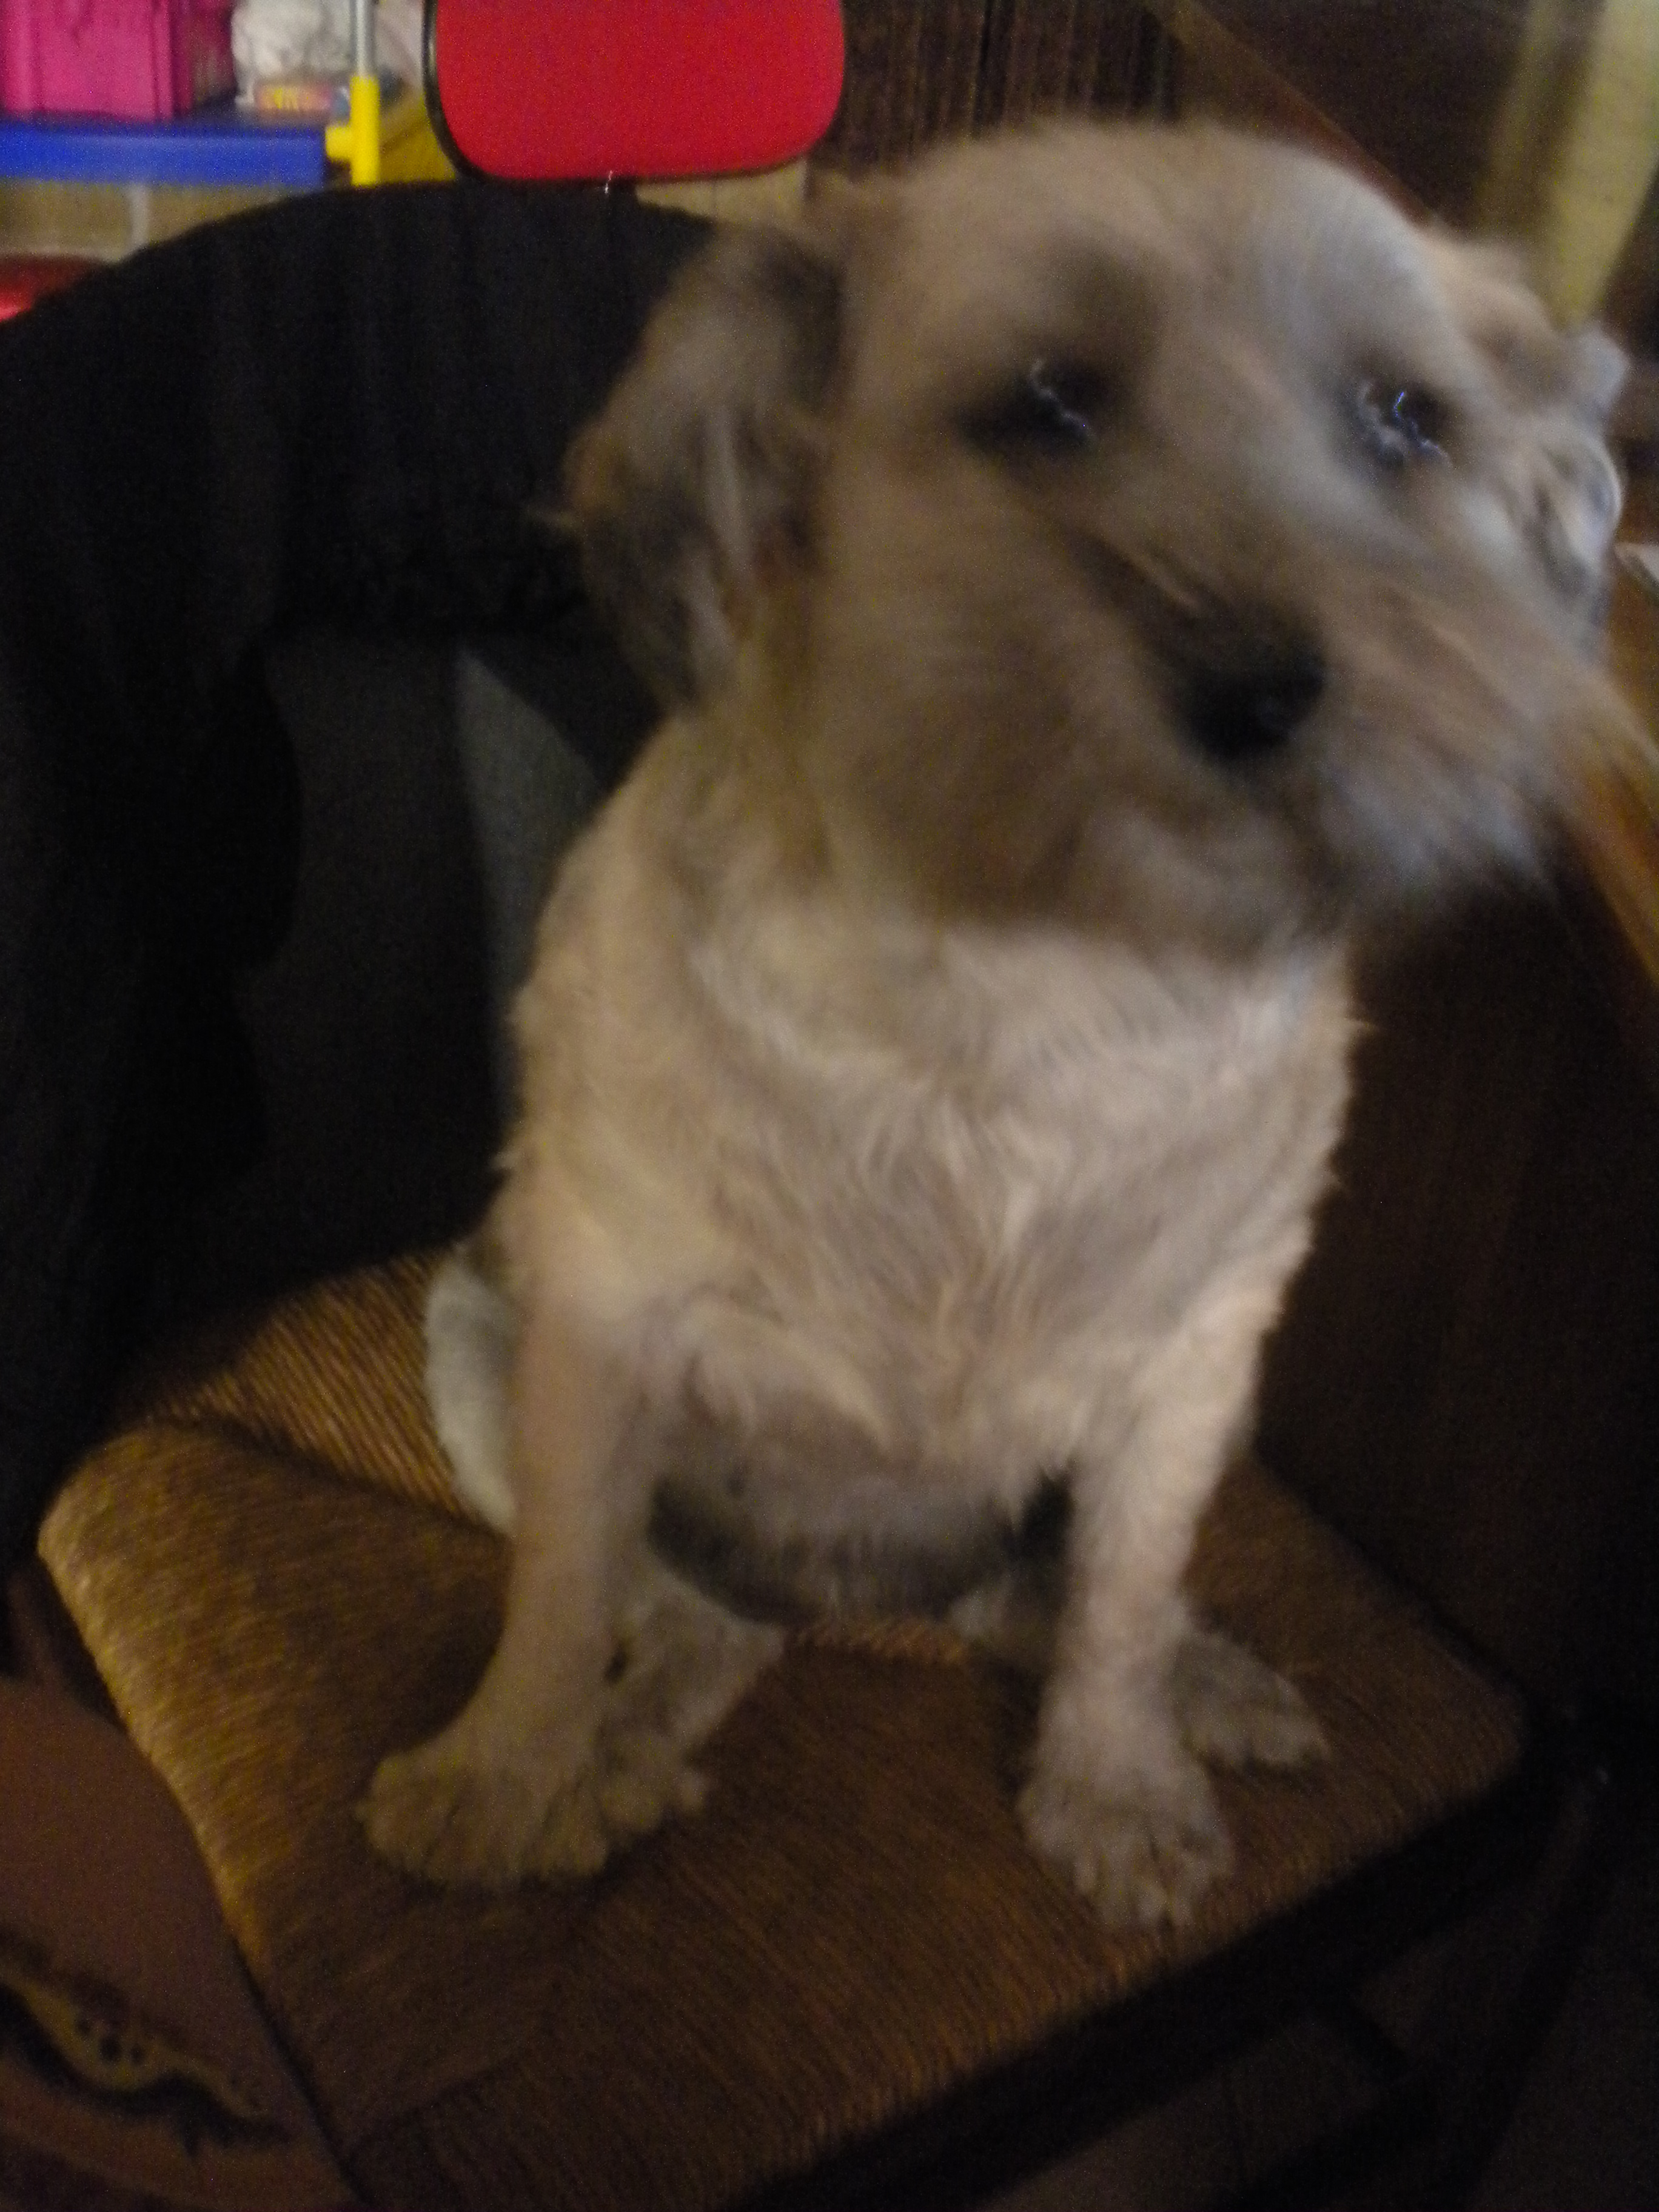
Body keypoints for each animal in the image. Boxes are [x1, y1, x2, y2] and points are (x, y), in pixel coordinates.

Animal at [363, 121, 1634, 1930]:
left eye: (1407, 420)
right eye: (1046, 406)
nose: (1268, 688)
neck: (1045, 965)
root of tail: (866, 1594)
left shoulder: (1193, 1364)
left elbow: (1120, 1601)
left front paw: (1115, 1782)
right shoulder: (599, 1323)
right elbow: (556, 1600)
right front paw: (504, 1772)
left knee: (1046, 1603)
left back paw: (1194, 1683)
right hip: (488, 1351)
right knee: (689, 1617)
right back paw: (620, 1744)